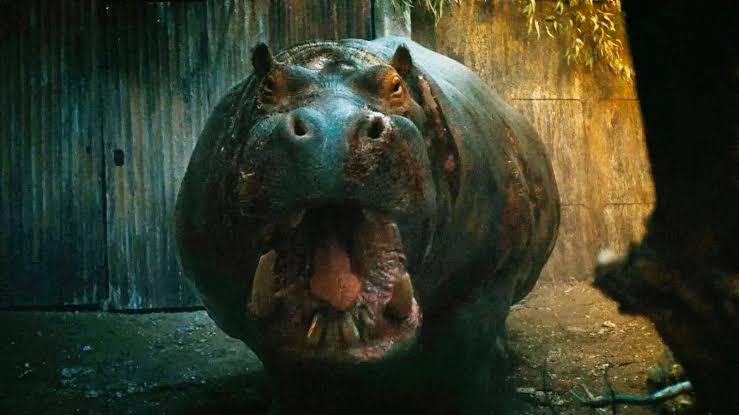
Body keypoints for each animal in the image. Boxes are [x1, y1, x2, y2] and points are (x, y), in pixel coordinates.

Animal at [175, 36, 559, 414]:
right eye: (267, 87)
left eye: (396, 86)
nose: (332, 127)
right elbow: (288, 372)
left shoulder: (484, 282)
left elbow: (462, 365)